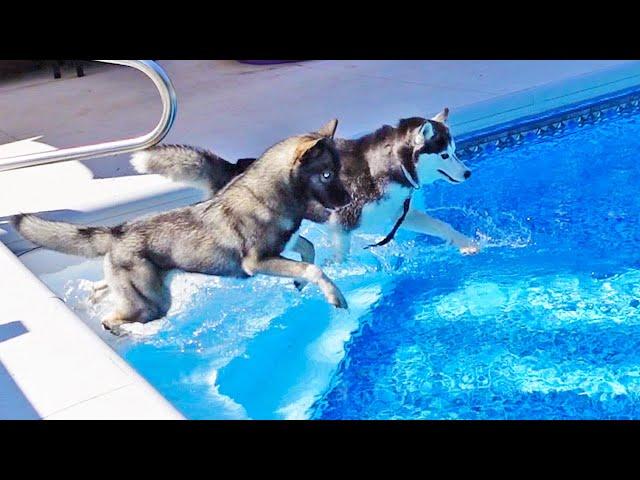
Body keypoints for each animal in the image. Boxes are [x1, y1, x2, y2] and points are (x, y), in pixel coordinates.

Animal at [12, 120, 350, 334]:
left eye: (337, 170)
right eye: (327, 175)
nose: (348, 200)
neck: (272, 194)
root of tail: (117, 231)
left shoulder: (285, 243)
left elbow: (309, 249)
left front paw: (300, 283)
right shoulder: (257, 261)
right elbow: (314, 268)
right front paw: (334, 295)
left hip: (138, 290)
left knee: (101, 289)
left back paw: (93, 300)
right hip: (152, 305)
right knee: (111, 320)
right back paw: (126, 334)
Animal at [132, 108, 478, 260]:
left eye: (455, 152)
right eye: (444, 155)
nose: (468, 174)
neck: (386, 168)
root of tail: (233, 168)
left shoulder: (396, 213)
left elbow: (441, 226)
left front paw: (466, 244)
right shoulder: (342, 223)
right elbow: (343, 253)